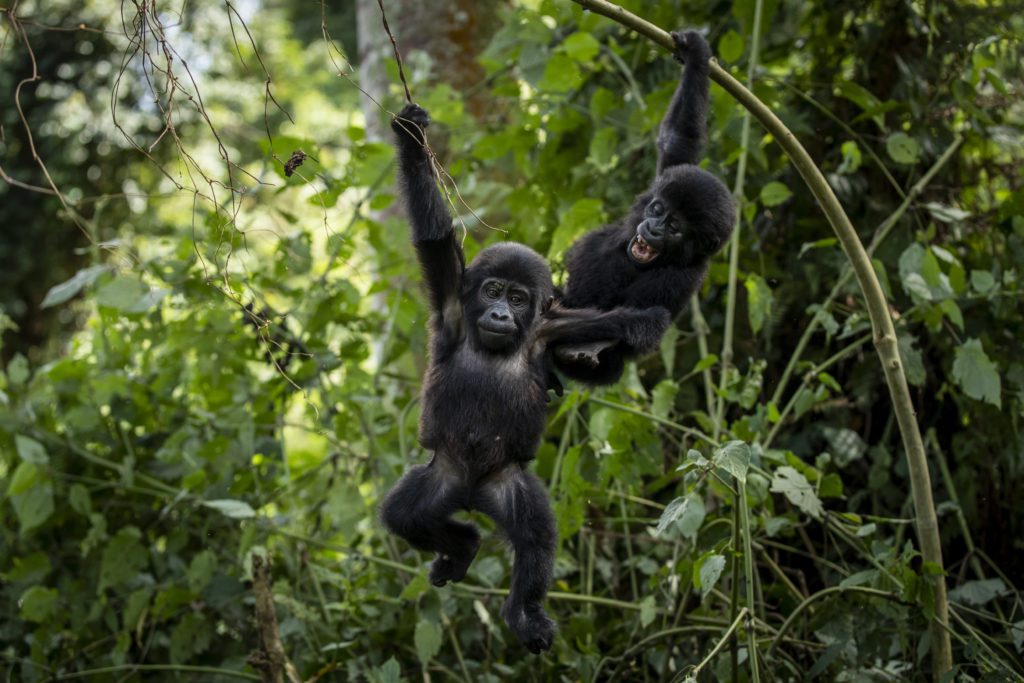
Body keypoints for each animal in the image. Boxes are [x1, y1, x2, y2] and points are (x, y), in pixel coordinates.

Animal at [378, 104, 655, 655]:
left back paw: (523, 613)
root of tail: (470, 494)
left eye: (519, 298)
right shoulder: (452, 302)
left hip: (507, 483)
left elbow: (613, 325)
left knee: (534, 537)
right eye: (492, 290)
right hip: (441, 475)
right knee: (405, 515)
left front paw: (649, 316)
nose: (502, 314)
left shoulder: (553, 329)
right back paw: (462, 547)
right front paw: (413, 140)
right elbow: (434, 239)